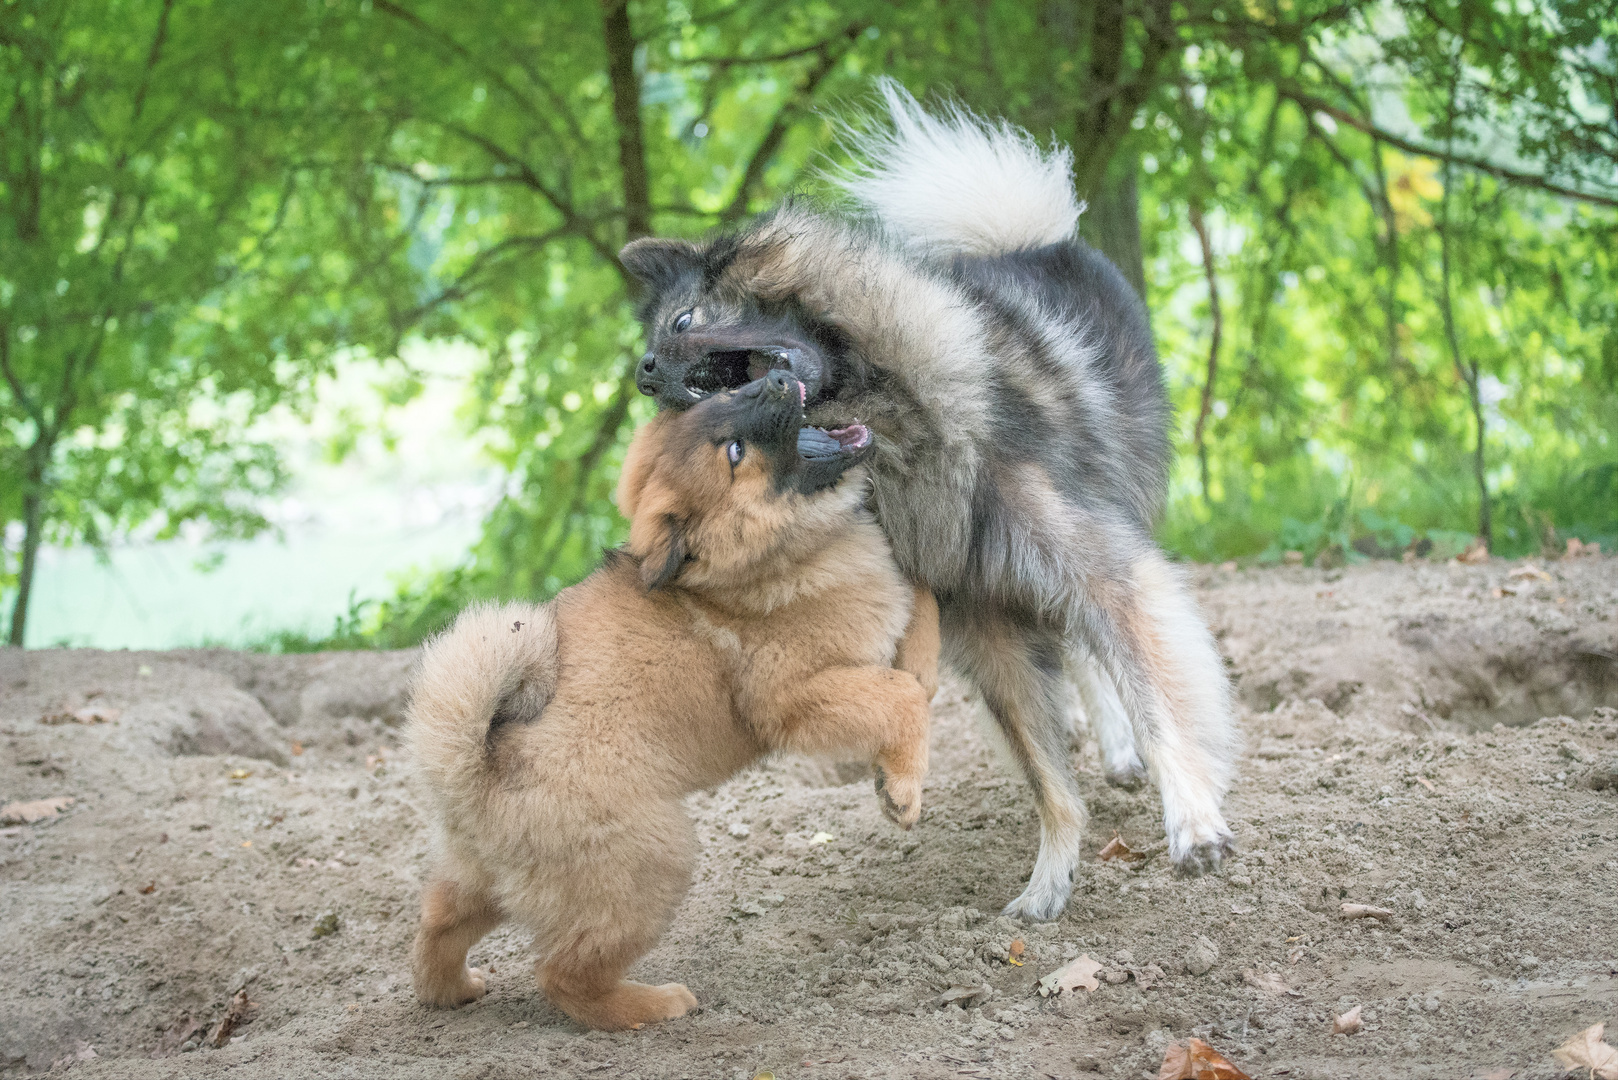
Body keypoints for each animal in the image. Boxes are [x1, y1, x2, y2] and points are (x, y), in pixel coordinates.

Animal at [407, 372, 938, 1029]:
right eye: (734, 452)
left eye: (724, 400)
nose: (778, 377)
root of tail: (475, 768)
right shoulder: (793, 702)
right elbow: (900, 693)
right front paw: (903, 792)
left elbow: (921, 609)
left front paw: (923, 677)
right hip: (651, 863)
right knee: (563, 975)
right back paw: (651, 1005)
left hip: (481, 877)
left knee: (438, 924)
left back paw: (451, 989)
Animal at [611, 82, 1229, 919]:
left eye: (679, 322)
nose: (644, 373)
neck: (901, 438)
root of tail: (1027, 238)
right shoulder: (992, 628)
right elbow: (1049, 780)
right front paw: (1048, 881)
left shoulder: (1101, 568)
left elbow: (1159, 698)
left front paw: (1192, 819)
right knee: (1075, 652)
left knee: (1096, 648)